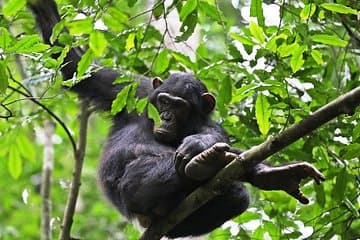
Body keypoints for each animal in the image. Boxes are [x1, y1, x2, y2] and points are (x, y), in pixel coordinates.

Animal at [29, 0, 324, 236]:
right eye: (163, 102)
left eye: (179, 107)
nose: (167, 117)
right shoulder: (133, 89)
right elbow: (76, 69)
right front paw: (41, 5)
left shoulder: (210, 123)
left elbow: (216, 137)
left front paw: (200, 146)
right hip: (131, 192)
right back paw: (204, 166)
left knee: (237, 194)